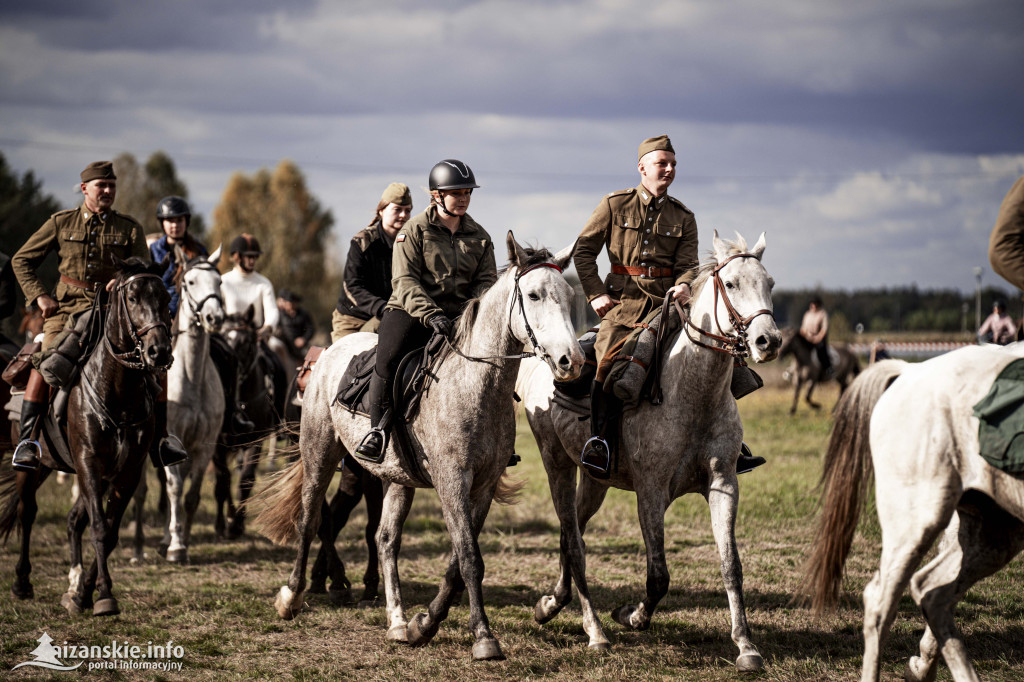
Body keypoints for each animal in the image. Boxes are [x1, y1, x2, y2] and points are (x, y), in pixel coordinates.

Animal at [0, 256, 169, 614]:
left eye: (164, 298)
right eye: (132, 297)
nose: (158, 352)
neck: (119, 390)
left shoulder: (126, 472)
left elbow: (111, 531)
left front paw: (86, 592)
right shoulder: (89, 462)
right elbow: (101, 529)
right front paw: (104, 594)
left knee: (74, 519)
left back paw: (74, 587)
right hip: (33, 466)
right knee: (27, 512)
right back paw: (22, 582)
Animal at [251, 233, 581, 659]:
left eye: (569, 296)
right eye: (534, 294)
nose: (571, 360)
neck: (473, 384)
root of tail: (326, 353)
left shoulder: (483, 486)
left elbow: (458, 561)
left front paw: (423, 624)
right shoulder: (451, 481)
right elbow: (470, 558)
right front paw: (483, 636)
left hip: (396, 479)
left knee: (385, 539)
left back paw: (396, 621)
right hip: (319, 454)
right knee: (310, 520)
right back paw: (291, 598)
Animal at [516, 229, 778, 667]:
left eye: (769, 283)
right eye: (730, 284)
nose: (768, 340)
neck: (691, 394)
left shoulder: (724, 485)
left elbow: (731, 566)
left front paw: (745, 644)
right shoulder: (651, 493)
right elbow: (658, 575)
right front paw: (631, 616)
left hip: (595, 481)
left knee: (573, 535)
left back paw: (553, 602)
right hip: (557, 464)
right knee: (570, 534)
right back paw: (560, 609)